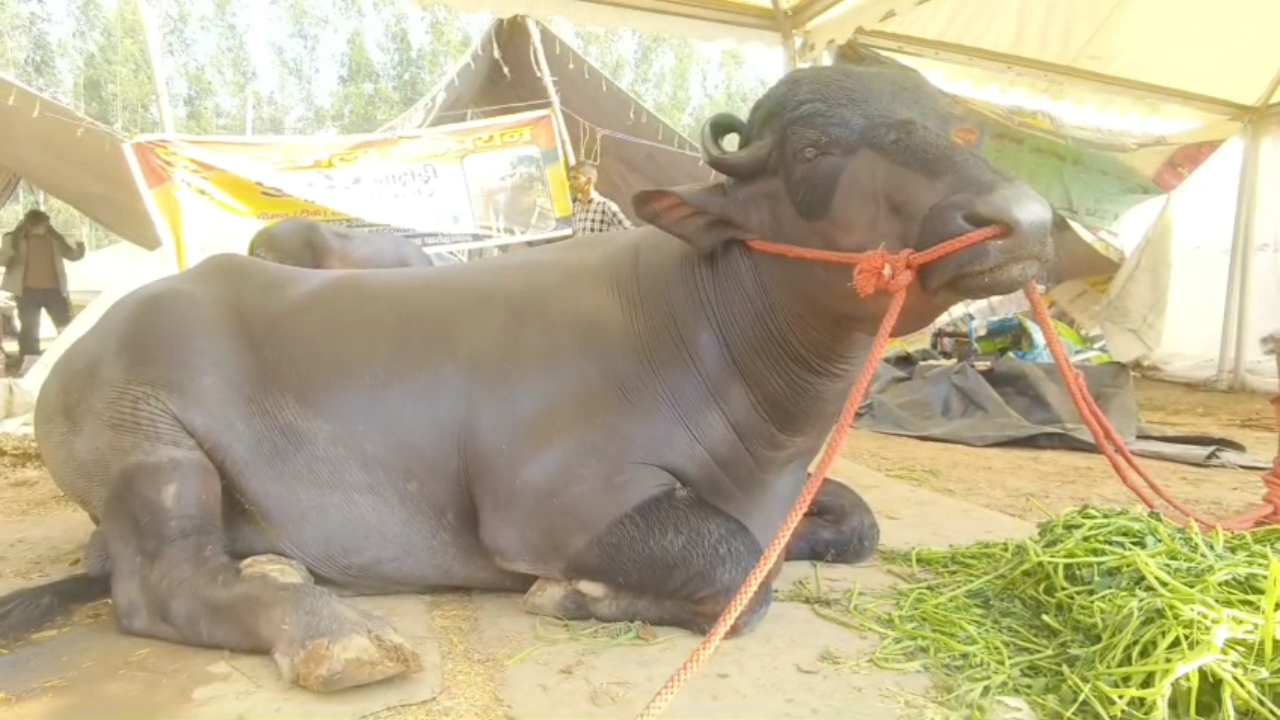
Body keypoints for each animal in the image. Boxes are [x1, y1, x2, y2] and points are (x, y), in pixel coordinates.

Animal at [0, 62, 1053, 694]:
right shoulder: (548, 503)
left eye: (957, 131)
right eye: (813, 150)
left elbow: (846, 527)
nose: (1028, 219)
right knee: (159, 583)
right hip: (145, 441)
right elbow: (737, 575)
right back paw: (329, 630)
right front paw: (580, 595)